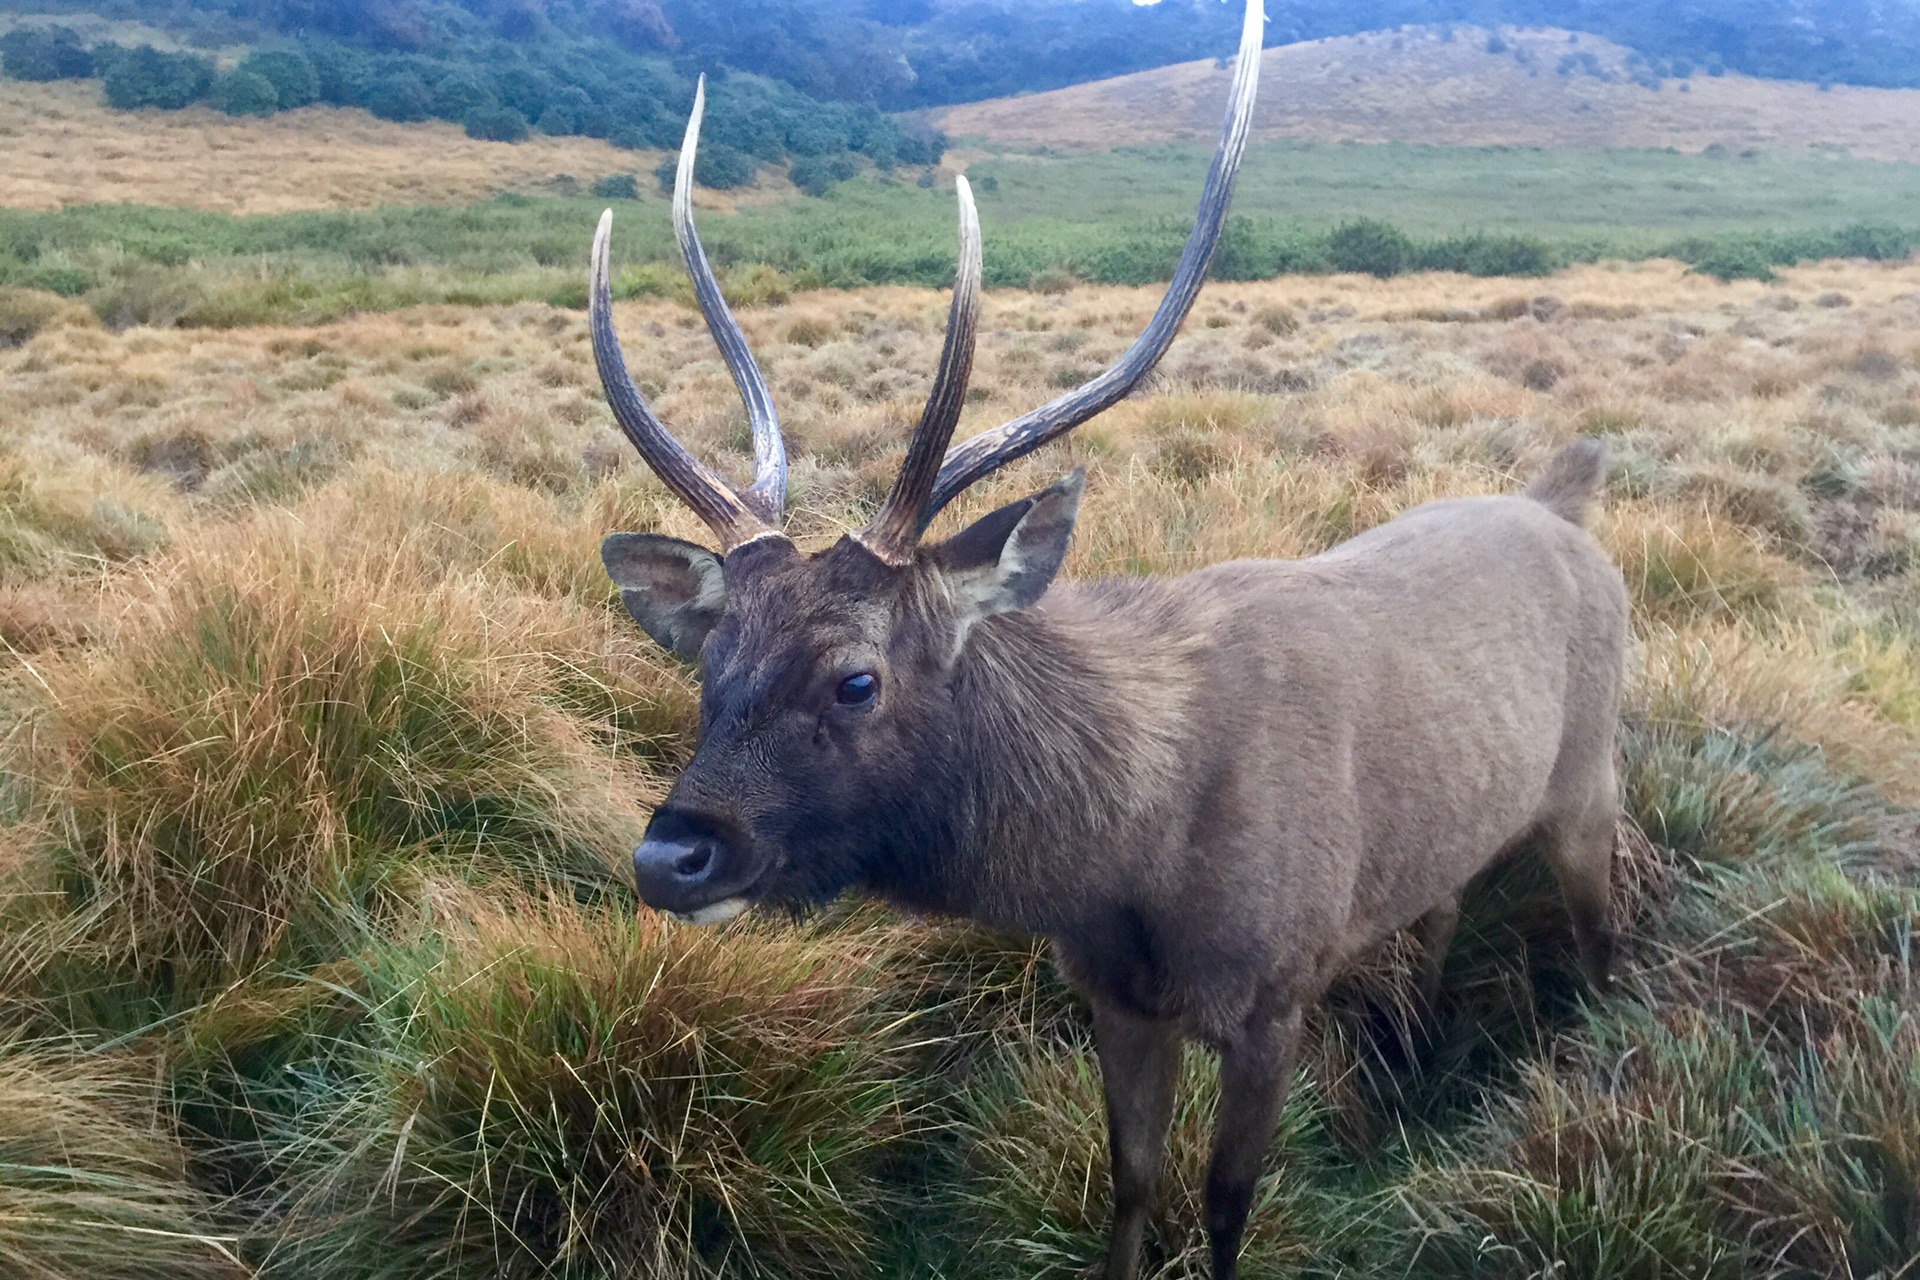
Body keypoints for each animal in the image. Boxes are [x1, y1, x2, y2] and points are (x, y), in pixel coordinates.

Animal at [579, 5, 1620, 1274]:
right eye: (705, 663)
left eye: (857, 678)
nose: (670, 856)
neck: (1130, 859)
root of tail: (1568, 499)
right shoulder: (1114, 994)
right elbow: (1130, 1178)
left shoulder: (1278, 989)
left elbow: (1227, 1199)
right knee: (1446, 899)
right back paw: (1418, 1049)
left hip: (1591, 775)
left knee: (1601, 933)